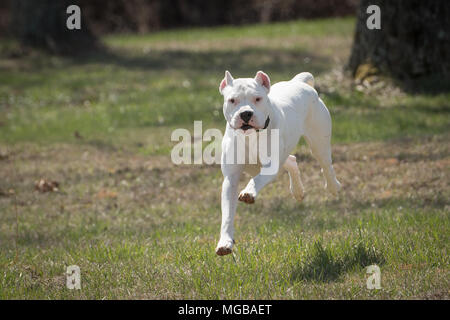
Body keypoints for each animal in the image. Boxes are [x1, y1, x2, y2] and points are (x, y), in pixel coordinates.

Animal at [215, 70, 342, 255]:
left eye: (258, 99)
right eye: (232, 100)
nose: (246, 113)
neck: (250, 136)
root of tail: (298, 82)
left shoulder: (271, 166)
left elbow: (257, 179)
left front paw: (248, 192)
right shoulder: (230, 179)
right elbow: (227, 214)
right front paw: (225, 242)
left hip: (319, 142)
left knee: (326, 165)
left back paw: (333, 187)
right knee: (292, 161)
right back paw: (298, 191)